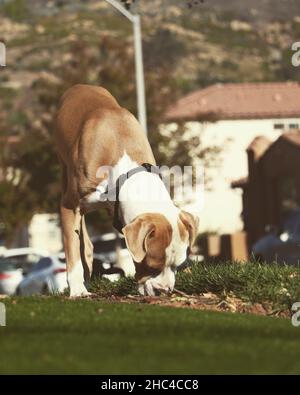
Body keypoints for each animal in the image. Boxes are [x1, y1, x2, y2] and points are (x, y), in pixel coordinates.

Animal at [55, 86, 199, 296]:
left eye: (178, 265)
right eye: (152, 266)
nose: (164, 291)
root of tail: (80, 86)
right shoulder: (69, 206)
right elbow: (72, 251)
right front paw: (77, 290)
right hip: (64, 170)